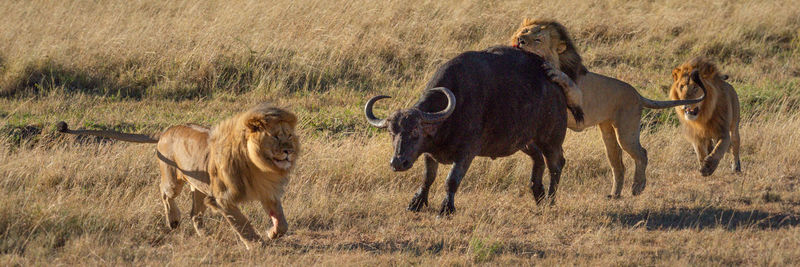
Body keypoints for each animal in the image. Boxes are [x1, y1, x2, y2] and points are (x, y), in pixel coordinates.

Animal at [55, 103, 300, 250]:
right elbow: (242, 223)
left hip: (199, 187)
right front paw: (256, 243)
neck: (261, 166)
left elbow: (282, 223)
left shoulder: (268, 193)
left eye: (289, 136)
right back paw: (173, 220)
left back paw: (203, 235)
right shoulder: (221, 199)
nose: (289, 151)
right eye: (276, 137)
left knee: (194, 213)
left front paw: (271, 233)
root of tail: (165, 131)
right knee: (165, 193)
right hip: (174, 181)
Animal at [362, 46, 576, 216]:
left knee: (556, 164)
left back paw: (550, 200)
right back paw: (538, 193)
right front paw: (416, 202)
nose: (398, 162)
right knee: (538, 159)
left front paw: (446, 208)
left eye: (416, 132)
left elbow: (451, 180)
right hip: (524, 141)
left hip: (551, 138)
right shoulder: (429, 153)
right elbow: (428, 178)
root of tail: (557, 86)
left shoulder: (467, 152)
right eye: (392, 133)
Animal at [510, 18, 704, 198]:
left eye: (538, 40)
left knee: (642, 153)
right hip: (608, 132)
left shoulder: (578, 99)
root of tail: (637, 94)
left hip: (626, 131)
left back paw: (638, 187)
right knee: (618, 164)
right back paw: (615, 194)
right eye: (525, 31)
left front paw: (556, 73)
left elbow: (568, 82)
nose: (520, 40)